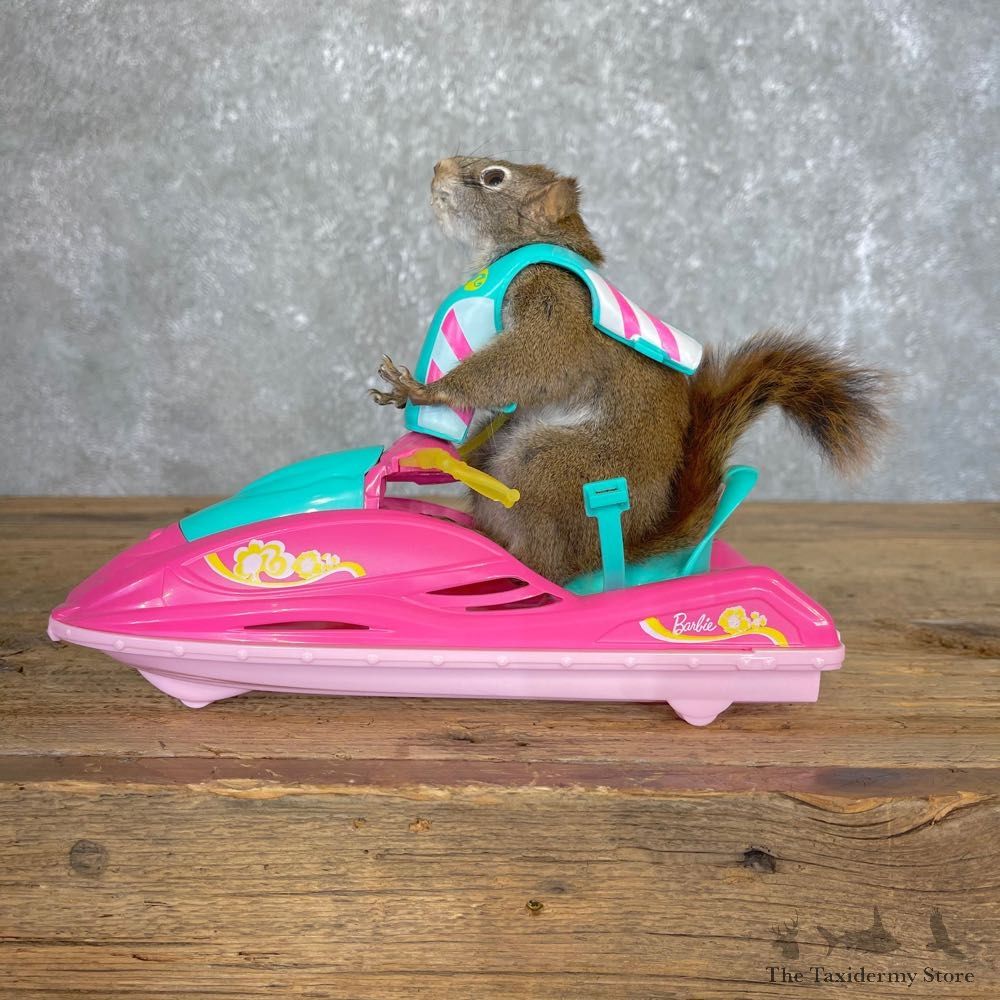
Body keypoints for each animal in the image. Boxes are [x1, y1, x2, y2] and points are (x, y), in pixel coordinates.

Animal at [371, 156, 888, 583]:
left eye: (494, 177)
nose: (437, 166)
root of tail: (602, 555)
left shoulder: (554, 300)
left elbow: (539, 363)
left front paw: (428, 390)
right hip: (499, 451)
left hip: (548, 467)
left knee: (548, 563)